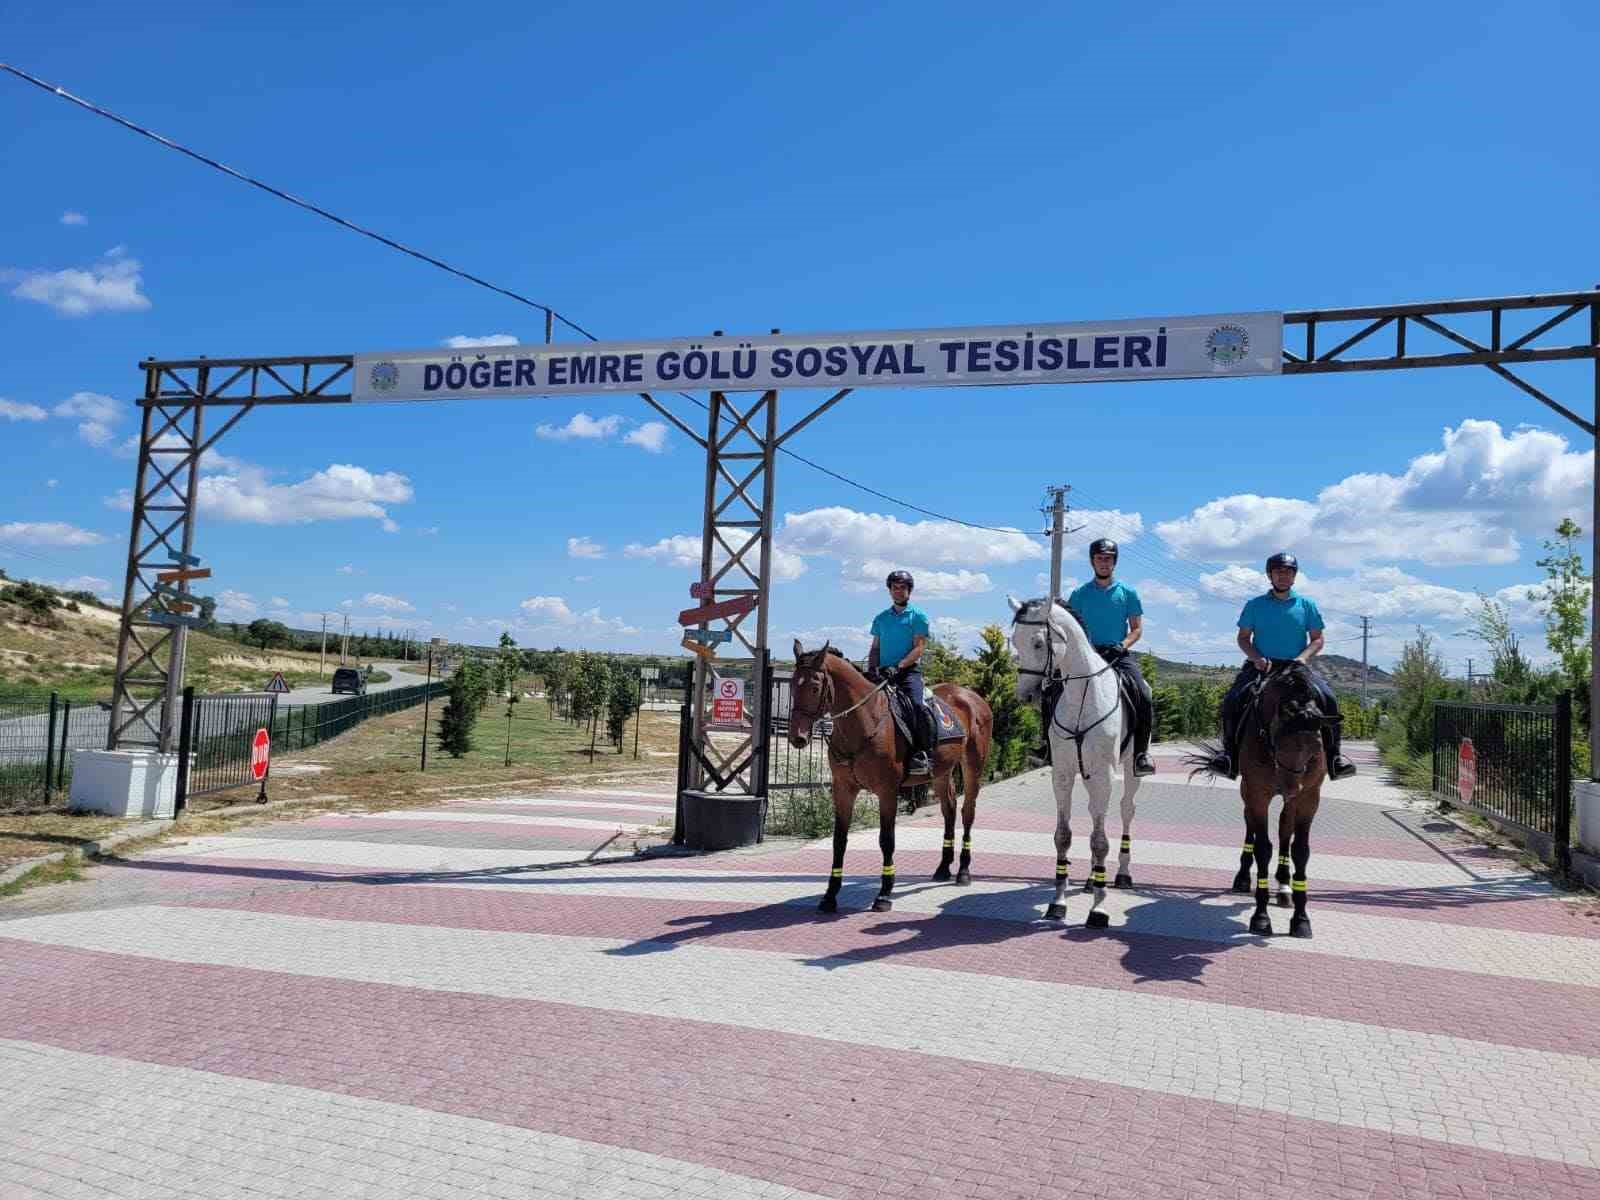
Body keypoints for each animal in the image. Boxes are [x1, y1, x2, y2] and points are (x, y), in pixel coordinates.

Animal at [784, 643, 992, 915]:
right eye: (792, 685)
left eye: (814, 687)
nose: (797, 737)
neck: (864, 722)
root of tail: (972, 697)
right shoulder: (843, 790)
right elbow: (839, 840)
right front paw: (830, 896)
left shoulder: (887, 792)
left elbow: (886, 840)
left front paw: (884, 894)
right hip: (941, 772)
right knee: (949, 809)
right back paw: (943, 867)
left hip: (972, 766)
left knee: (968, 812)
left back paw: (964, 871)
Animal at [1004, 595, 1145, 928]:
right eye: (1014, 640)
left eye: (1038, 643)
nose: (1024, 695)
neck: (1084, 695)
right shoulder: (1064, 775)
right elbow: (1064, 836)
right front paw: (1058, 903)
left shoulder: (1104, 776)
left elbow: (1101, 841)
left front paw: (1099, 910)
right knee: (1095, 818)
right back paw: (1094, 879)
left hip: (1130, 770)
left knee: (1125, 811)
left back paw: (1121, 874)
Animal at [1216, 668, 1331, 940]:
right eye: (1280, 740)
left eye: (1316, 746)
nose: (1290, 788)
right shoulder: (1258, 794)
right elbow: (1262, 848)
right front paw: (1260, 918)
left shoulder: (1309, 798)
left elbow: (1300, 850)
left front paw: (1301, 919)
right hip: (1249, 792)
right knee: (1250, 824)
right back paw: (1243, 878)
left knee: (1285, 830)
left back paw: (1285, 887)